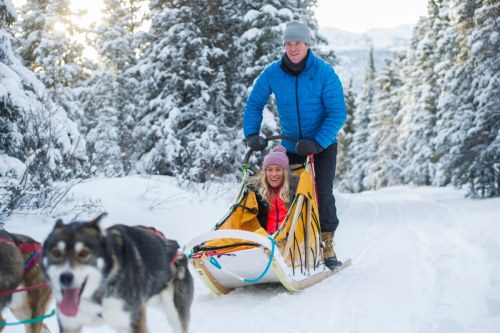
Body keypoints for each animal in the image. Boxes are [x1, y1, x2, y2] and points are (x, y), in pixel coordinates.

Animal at [42, 213, 193, 332]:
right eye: (56, 253)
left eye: (84, 253)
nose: (65, 278)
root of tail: (178, 253)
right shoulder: (69, 325)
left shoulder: (135, 324)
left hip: (176, 316)